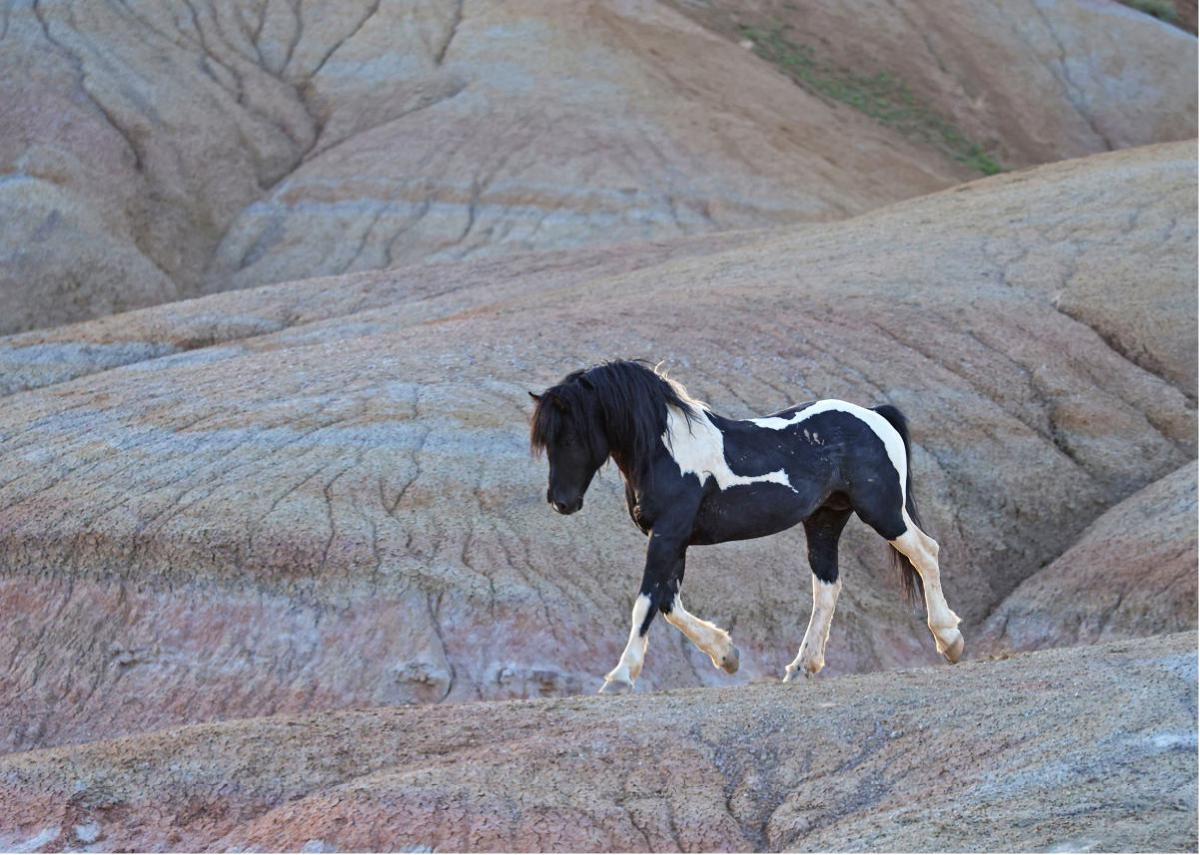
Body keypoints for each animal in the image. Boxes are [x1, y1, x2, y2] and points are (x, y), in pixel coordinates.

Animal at [530, 357, 960, 691]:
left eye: (570, 435)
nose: (561, 502)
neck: (666, 450)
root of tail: (874, 414)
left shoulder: (668, 534)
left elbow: (646, 602)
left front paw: (619, 676)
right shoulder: (674, 540)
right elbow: (668, 603)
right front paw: (727, 655)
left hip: (883, 510)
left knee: (926, 552)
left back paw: (950, 640)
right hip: (825, 519)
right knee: (827, 587)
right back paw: (802, 666)